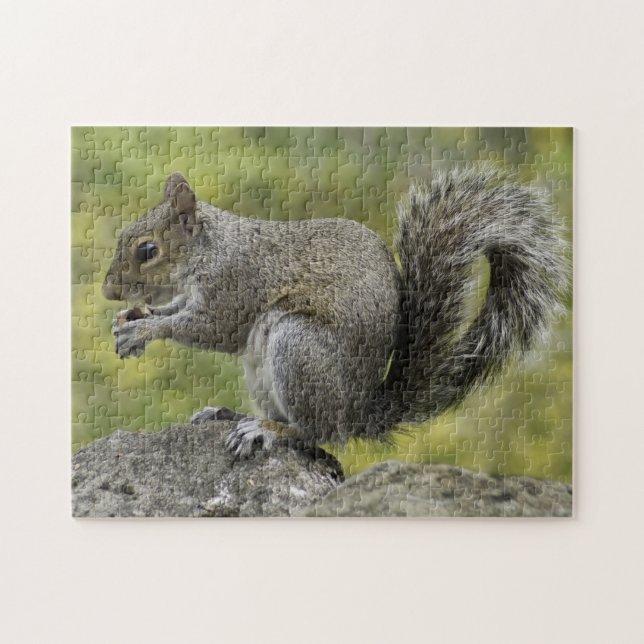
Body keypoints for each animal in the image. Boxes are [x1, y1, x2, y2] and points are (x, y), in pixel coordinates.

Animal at [102, 167, 568, 457]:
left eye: (147, 250)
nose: (109, 291)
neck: (211, 249)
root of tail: (355, 413)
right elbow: (177, 307)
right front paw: (134, 317)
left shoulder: (236, 286)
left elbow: (212, 329)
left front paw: (143, 330)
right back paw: (231, 414)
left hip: (298, 348)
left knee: (317, 433)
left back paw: (269, 430)